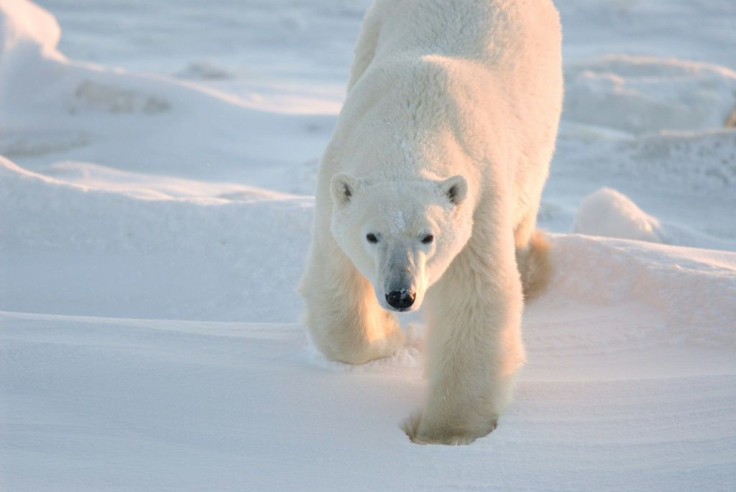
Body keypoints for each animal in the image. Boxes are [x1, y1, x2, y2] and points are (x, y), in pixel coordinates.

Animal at [299, 0, 562, 445]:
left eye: (428, 236)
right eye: (372, 235)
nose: (400, 296)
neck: (414, 116)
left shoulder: (480, 196)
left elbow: (474, 298)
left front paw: (445, 433)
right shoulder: (336, 175)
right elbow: (336, 282)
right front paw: (388, 336)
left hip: (542, 109)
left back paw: (533, 263)